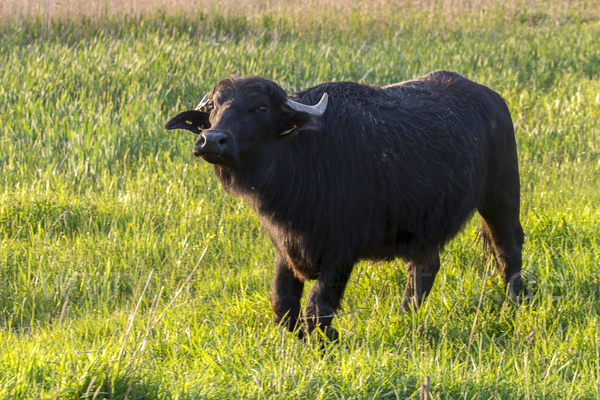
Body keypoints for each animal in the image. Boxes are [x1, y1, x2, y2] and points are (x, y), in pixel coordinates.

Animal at [165, 70, 524, 340]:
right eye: (214, 107)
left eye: (262, 108)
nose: (213, 140)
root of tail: (494, 100)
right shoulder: (286, 246)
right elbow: (283, 306)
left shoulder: (341, 253)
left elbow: (317, 308)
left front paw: (328, 341)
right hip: (422, 228)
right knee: (425, 268)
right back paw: (405, 315)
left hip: (502, 196)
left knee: (508, 252)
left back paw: (517, 304)